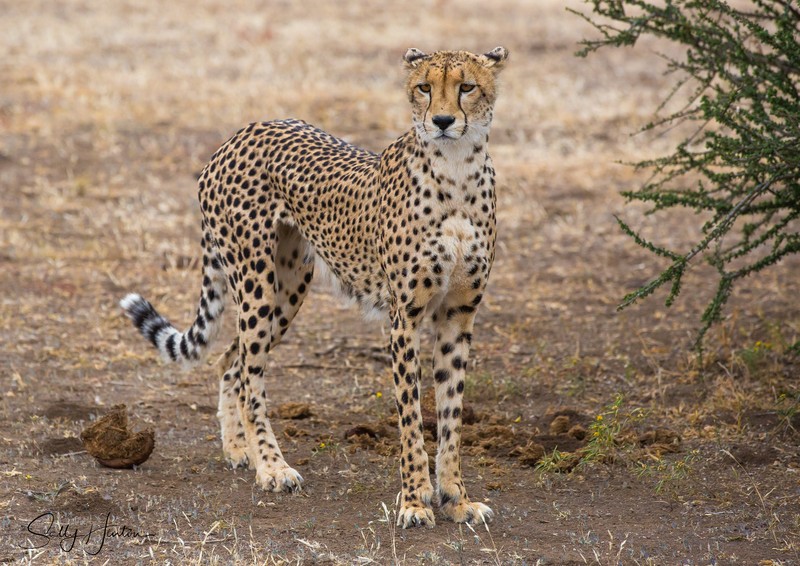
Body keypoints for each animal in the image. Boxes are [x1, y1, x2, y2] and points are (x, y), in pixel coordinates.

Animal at [120, 46, 508, 528]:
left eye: (466, 87)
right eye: (424, 87)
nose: (441, 120)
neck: (456, 170)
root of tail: (243, 131)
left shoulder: (459, 314)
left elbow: (451, 415)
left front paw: (456, 498)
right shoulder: (404, 318)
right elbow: (411, 417)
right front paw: (414, 501)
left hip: (287, 288)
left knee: (231, 362)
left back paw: (239, 451)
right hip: (255, 281)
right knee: (249, 375)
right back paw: (272, 467)